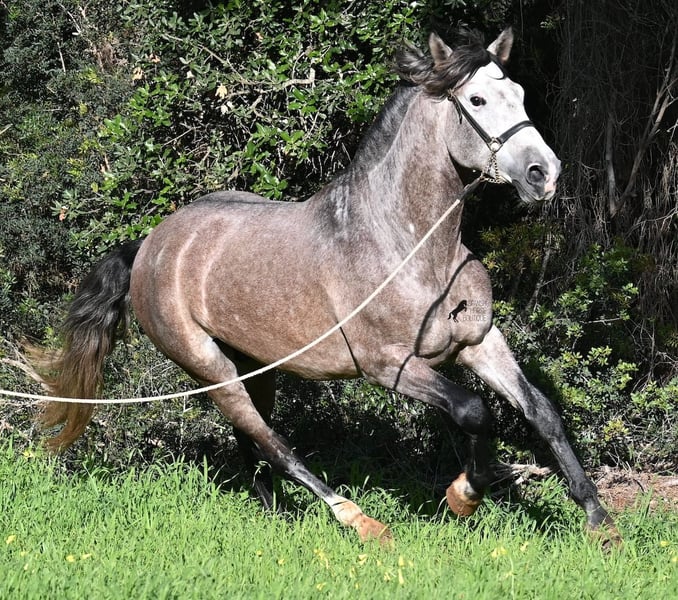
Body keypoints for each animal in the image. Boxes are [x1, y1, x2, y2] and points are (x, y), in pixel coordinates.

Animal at [27, 28, 620, 545]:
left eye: (517, 93)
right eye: (476, 99)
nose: (545, 173)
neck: (409, 247)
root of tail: (151, 244)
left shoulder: (478, 342)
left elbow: (542, 411)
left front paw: (600, 523)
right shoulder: (388, 365)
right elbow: (475, 411)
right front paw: (463, 495)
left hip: (253, 364)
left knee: (254, 442)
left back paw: (275, 517)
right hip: (207, 367)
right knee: (275, 444)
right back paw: (359, 522)